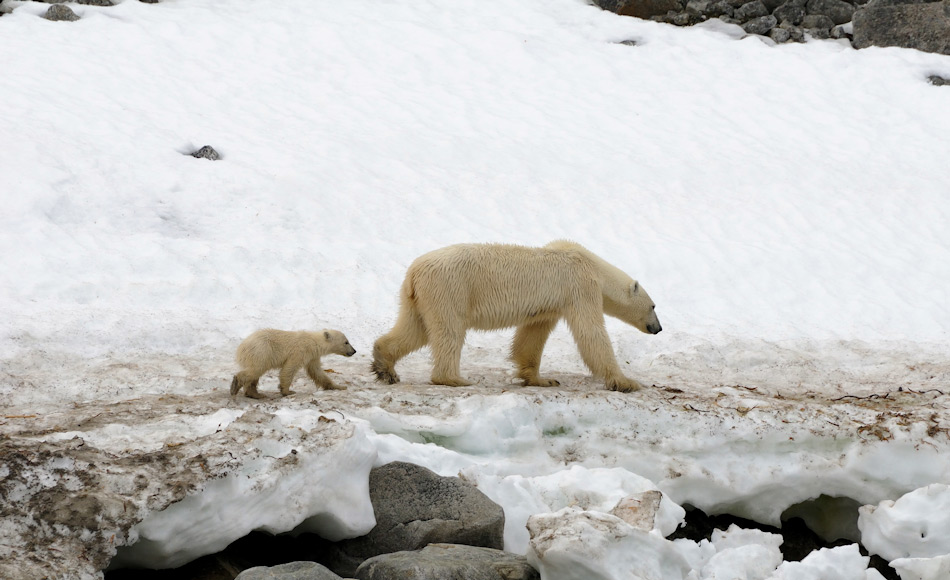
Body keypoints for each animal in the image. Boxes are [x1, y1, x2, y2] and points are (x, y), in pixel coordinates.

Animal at [372, 238, 660, 392]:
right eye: (654, 306)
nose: (658, 328)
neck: (593, 266)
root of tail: (414, 272)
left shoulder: (551, 303)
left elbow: (532, 335)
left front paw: (542, 379)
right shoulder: (580, 287)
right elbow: (591, 333)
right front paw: (626, 381)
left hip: (418, 298)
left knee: (414, 329)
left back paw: (384, 366)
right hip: (450, 290)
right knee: (448, 332)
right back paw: (454, 378)